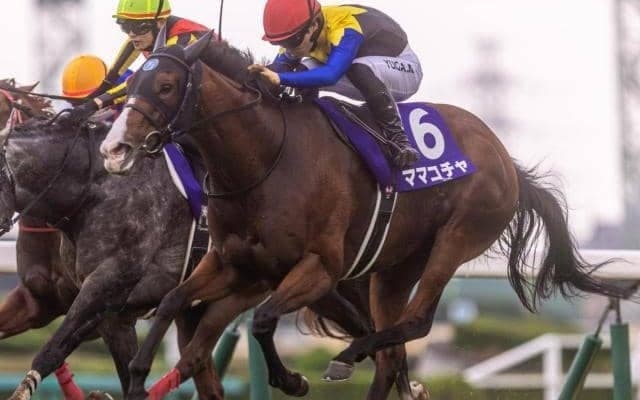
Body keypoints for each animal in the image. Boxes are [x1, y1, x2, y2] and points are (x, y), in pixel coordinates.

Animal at [99, 29, 629, 400]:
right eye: (134, 81)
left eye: (166, 84)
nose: (114, 148)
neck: (265, 157)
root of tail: (504, 158)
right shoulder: (233, 263)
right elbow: (173, 301)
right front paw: (138, 375)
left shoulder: (319, 268)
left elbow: (265, 321)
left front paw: (292, 379)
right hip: (394, 268)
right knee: (391, 352)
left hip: (456, 238)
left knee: (414, 326)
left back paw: (347, 355)